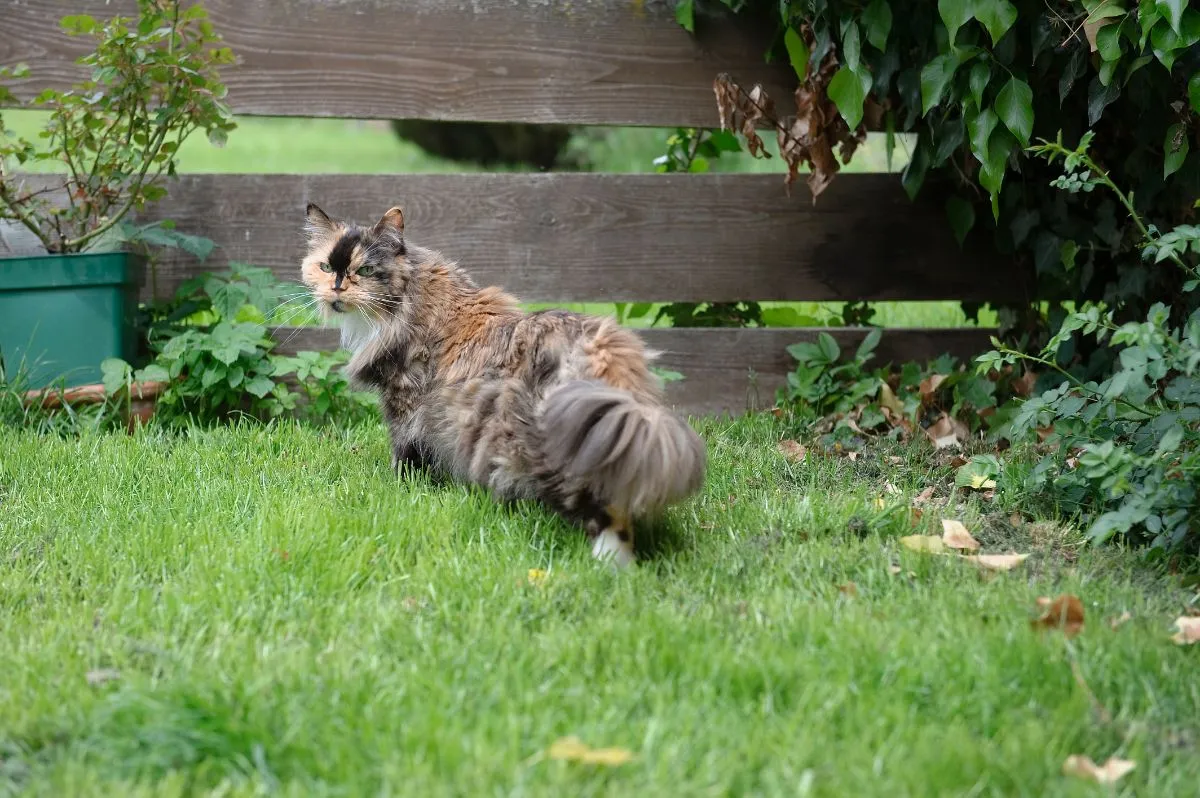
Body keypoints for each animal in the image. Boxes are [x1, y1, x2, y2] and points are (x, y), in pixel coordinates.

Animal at [300, 205, 705, 566]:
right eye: (325, 267)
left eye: (365, 270)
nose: (337, 288)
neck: (411, 298)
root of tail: (601, 347)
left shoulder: (405, 405)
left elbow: (406, 457)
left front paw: (401, 491)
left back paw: (609, 567)